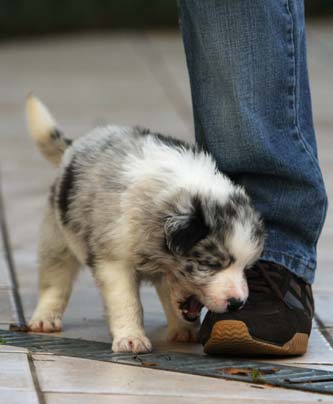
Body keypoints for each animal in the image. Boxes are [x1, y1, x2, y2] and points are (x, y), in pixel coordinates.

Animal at [26, 94, 264, 354]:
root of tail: (75, 145)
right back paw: (45, 318)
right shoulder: (114, 261)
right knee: (55, 279)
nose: (237, 303)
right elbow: (127, 302)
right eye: (209, 264)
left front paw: (183, 330)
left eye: (246, 267)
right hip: (57, 236)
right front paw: (131, 339)